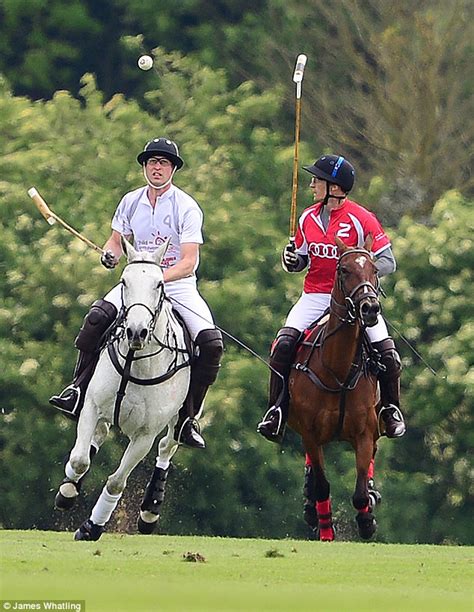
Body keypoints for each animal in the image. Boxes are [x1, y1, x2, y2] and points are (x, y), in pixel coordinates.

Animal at [54, 238, 190, 540]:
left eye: (159, 284)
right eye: (124, 281)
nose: (136, 332)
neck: (134, 363)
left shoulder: (145, 434)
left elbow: (117, 482)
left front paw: (91, 527)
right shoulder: (92, 406)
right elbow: (79, 460)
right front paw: (68, 489)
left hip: (177, 420)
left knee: (168, 446)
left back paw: (150, 512)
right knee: (100, 434)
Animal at [286, 234, 384, 540]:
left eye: (375, 270)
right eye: (343, 270)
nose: (370, 308)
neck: (337, 371)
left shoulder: (364, 434)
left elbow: (360, 491)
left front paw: (367, 522)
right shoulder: (311, 434)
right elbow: (322, 485)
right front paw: (326, 530)